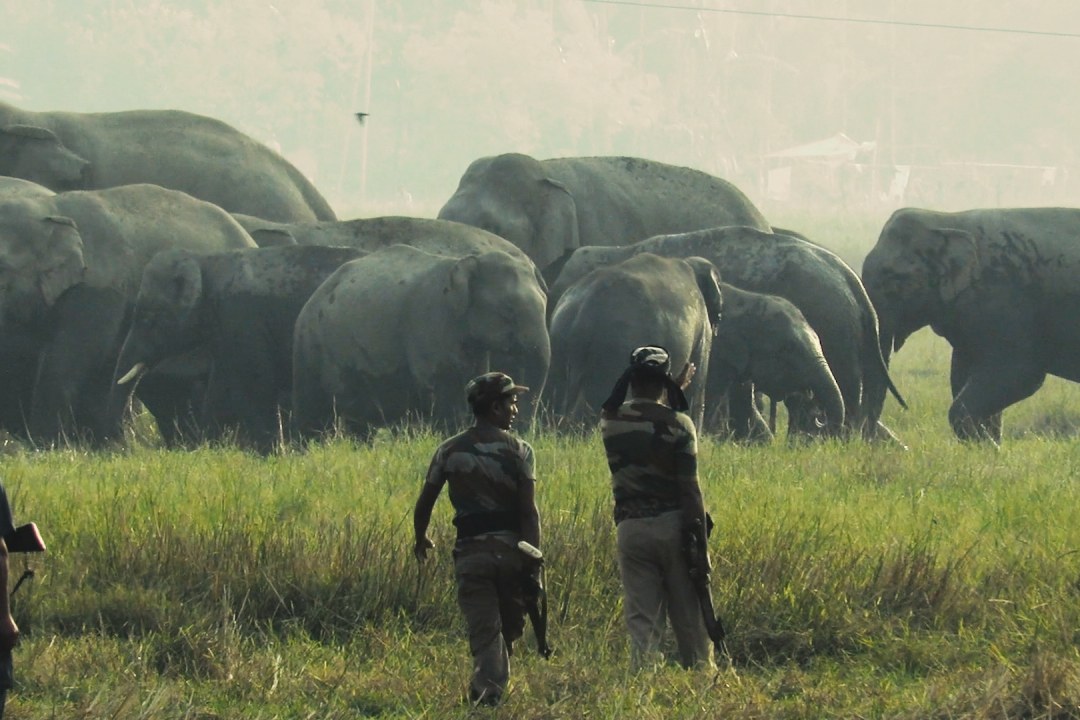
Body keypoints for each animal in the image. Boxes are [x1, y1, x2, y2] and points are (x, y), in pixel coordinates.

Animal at [112, 245, 368, 452]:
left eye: (147, 319)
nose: (123, 447)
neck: (205, 261)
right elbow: (221, 388)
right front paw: (208, 451)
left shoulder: (242, 321)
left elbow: (256, 385)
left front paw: (271, 455)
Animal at [292, 245, 550, 440]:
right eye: (508, 310)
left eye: (545, 302)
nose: (518, 432)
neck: (461, 263)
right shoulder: (430, 323)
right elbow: (442, 388)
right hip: (314, 350)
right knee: (317, 411)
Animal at [862, 207, 1080, 443]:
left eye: (893, 278)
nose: (899, 443)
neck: (944, 220)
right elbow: (961, 373)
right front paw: (989, 443)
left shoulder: (1004, 303)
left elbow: (1022, 374)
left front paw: (987, 445)